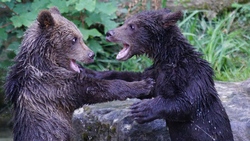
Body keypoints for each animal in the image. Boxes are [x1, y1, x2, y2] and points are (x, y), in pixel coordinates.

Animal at [3, 7, 152, 140]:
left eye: (80, 36)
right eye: (73, 39)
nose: (91, 54)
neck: (46, 62)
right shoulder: (52, 86)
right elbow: (97, 88)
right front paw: (144, 84)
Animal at [105, 8, 234, 141]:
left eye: (132, 26)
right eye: (125, 22)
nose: (109, 33)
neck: (169, 58)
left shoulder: (191, 73)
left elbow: (188, 101)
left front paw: (141, 109)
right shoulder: (157, 73)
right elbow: (137, 79)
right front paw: (105, 75)